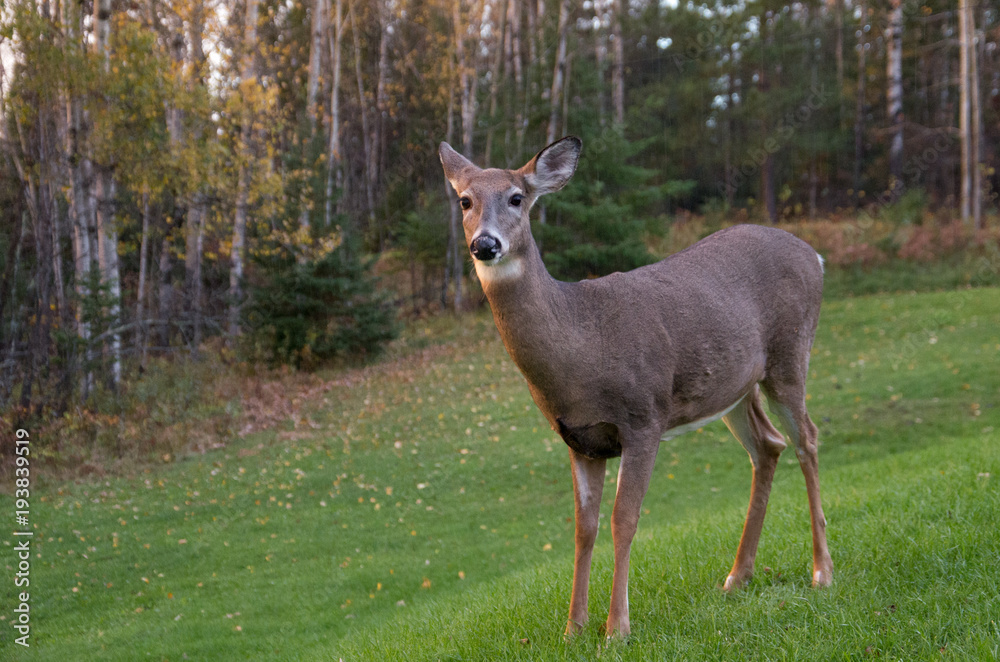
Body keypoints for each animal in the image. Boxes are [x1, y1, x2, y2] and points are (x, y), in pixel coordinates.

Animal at [439, 136, 833, 639]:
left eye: (516, 197)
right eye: (465, 200)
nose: (484, 244)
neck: (582, 346)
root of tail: (815, 255)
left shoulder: (644, 416)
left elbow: (623, 520)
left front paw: (616, 629)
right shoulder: (579, 439)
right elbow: (583, 528)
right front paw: (573, 628)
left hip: (790, 353)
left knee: (808, 438)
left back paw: (821, 571)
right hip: (734, 387)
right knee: (769, 445)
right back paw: (736, 576)